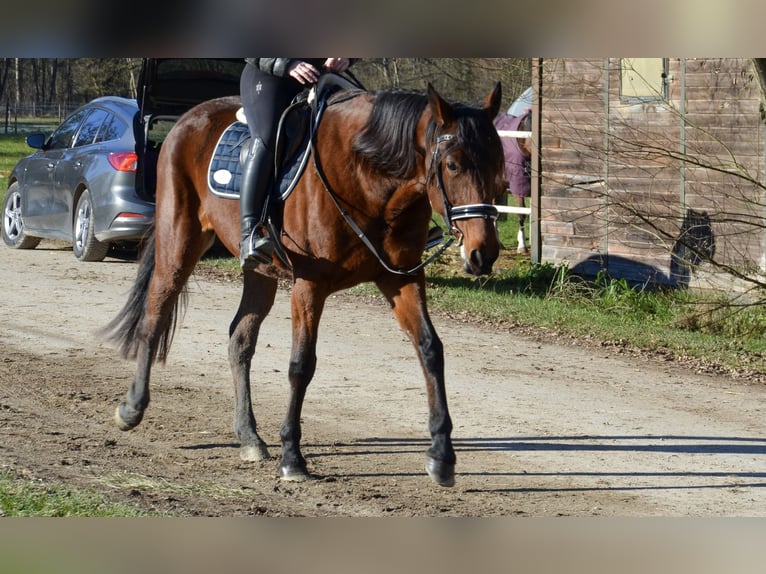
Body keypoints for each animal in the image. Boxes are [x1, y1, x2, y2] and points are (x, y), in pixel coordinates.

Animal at [103, 79, 510, 488]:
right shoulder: (309, 286)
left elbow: (430, 349)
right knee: (156, 313)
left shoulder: (401, 278)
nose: (484, 252)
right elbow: (301, 365)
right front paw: (292, 457)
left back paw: (249, 436)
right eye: (453, 165)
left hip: (260, 273)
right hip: (180, 241)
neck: (367, 176)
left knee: (240, 339)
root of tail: (187, 119)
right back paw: (132, 407)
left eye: (499, 165)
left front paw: (442, 455)